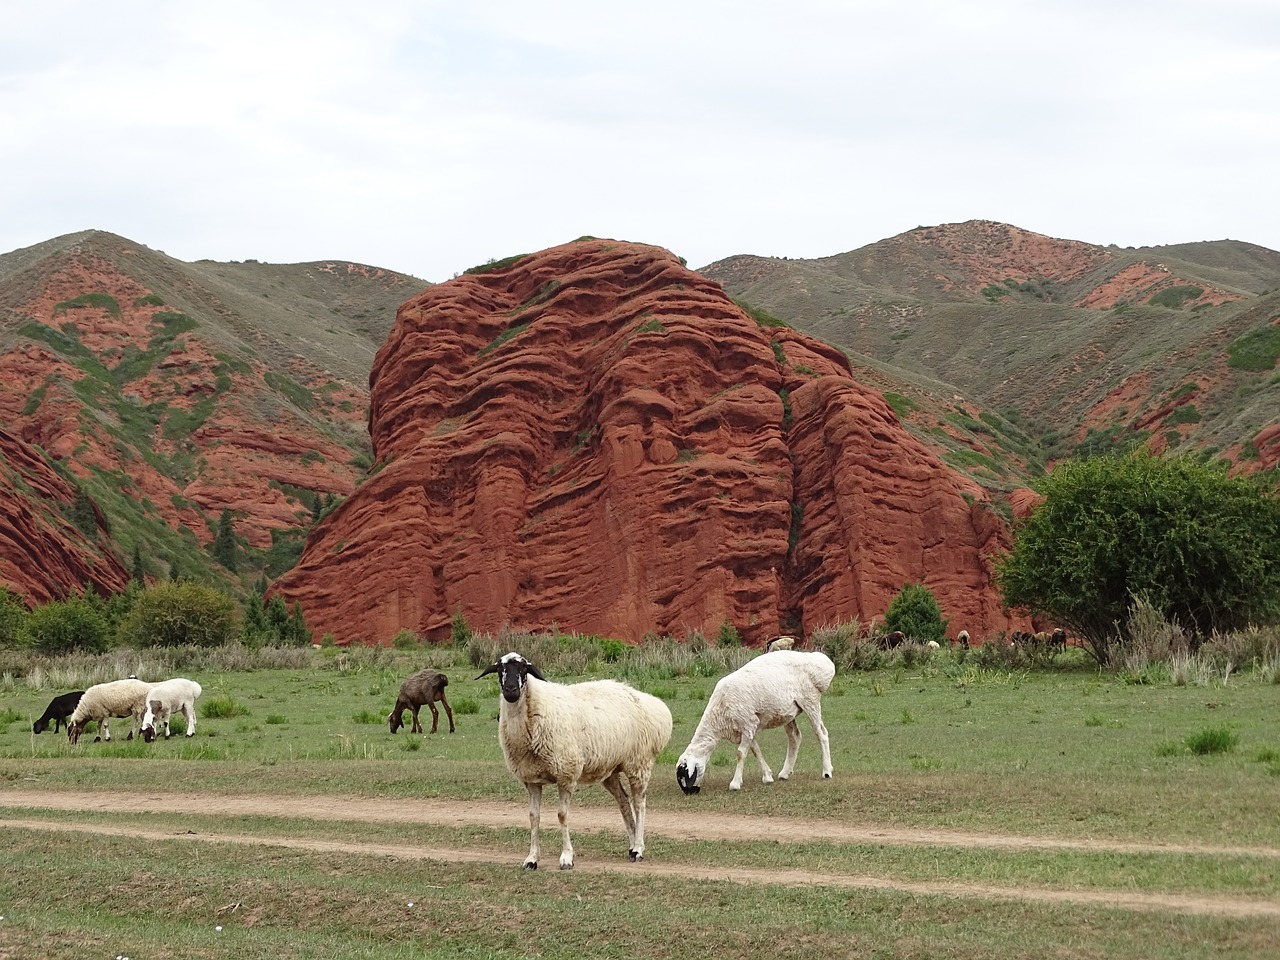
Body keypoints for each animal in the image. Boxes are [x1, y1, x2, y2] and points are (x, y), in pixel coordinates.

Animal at [478, 655, 675, 870]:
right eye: (499, 669)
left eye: (523, 668)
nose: (511, 690)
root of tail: (654, 703)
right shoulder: (532, 780)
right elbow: (533, 817)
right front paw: (531, 859)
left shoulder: (566, 774)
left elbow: (562, 815)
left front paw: (566, 858)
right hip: (611, 769)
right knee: (623, 801)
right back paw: (631, 847)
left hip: (639, 763)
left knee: (640, 803)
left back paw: (638, 848)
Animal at [675, 655, 834, 798]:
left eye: (683, 775)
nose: (690, 793)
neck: (718, 716)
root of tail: (822, 662)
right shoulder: (746, 728)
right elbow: (755, 750)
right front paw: (767, 776)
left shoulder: (748, 722)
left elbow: (740, 754)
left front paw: (735, 784)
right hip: (788, 712)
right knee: (795, 737)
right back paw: (785, 773)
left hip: (810, 700)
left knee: (821, 733)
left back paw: (827, 771)